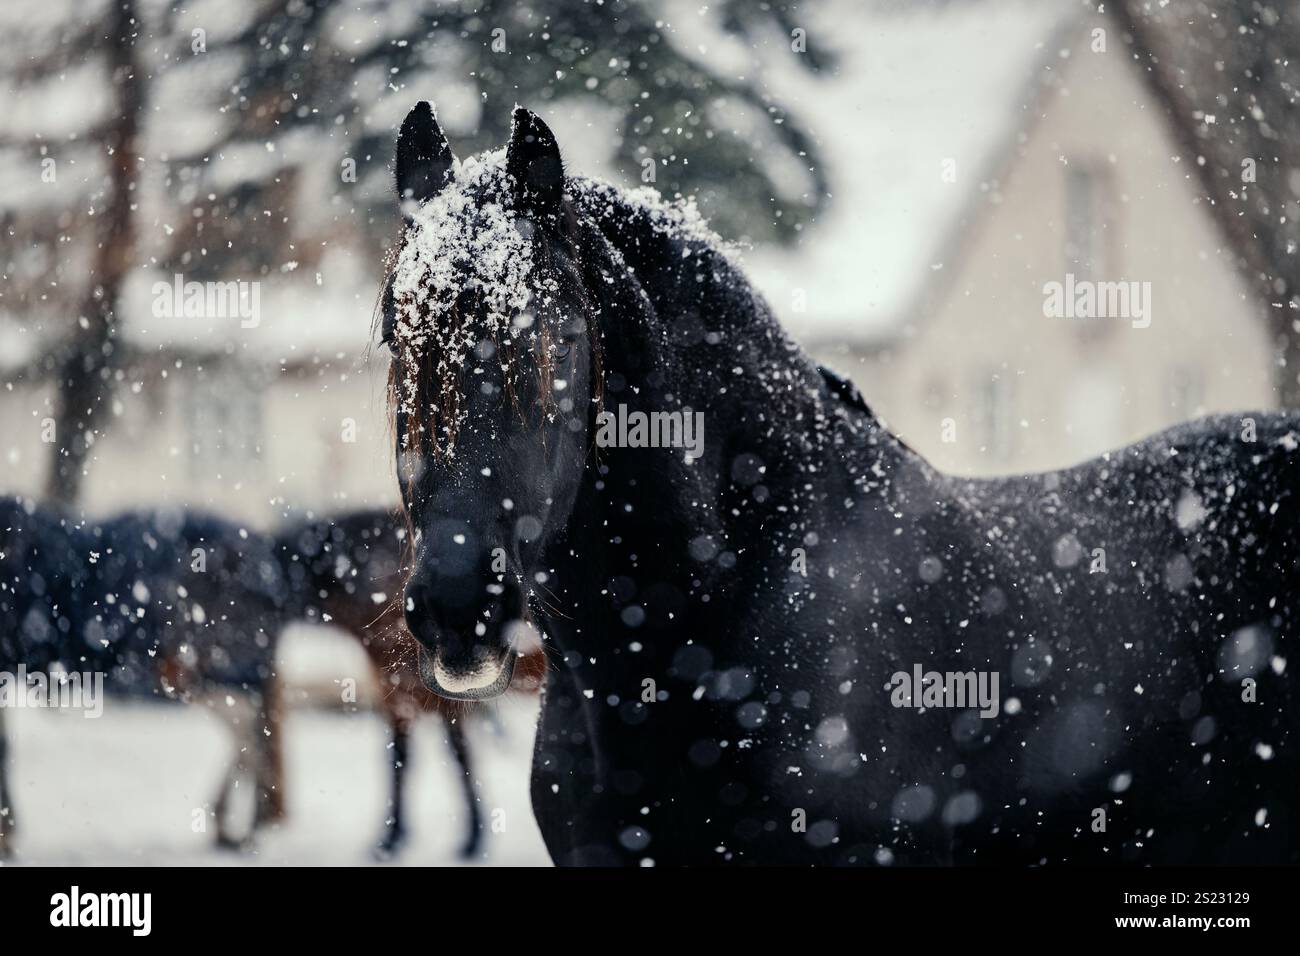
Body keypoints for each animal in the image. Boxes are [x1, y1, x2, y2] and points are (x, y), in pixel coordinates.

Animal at [275, 508, 545, 859]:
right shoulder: (400, 696)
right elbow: (400, 759)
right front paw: (394, 837)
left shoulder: (442, 699)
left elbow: (459, 758)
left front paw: (471, 839)